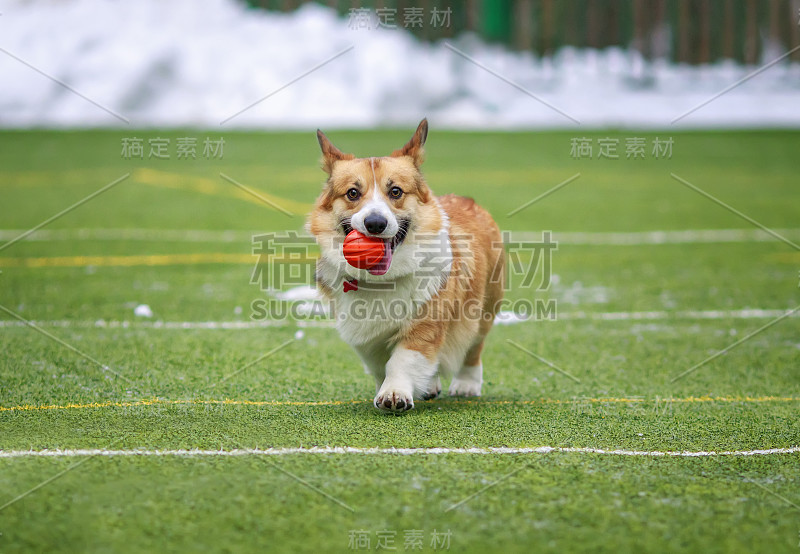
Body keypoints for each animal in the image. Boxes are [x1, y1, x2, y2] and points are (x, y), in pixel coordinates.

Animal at [310, 117, 504, 410]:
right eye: (353, 193)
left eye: (395, 191)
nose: (375, 223)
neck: (381, 282)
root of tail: (467, 200)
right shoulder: (367, 339)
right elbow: (381, 364)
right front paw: (389, 389)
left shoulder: (426, 323)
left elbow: (403, 360)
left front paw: (394, 394)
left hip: (484, 309)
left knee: (473, 347)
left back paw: (466, 385)